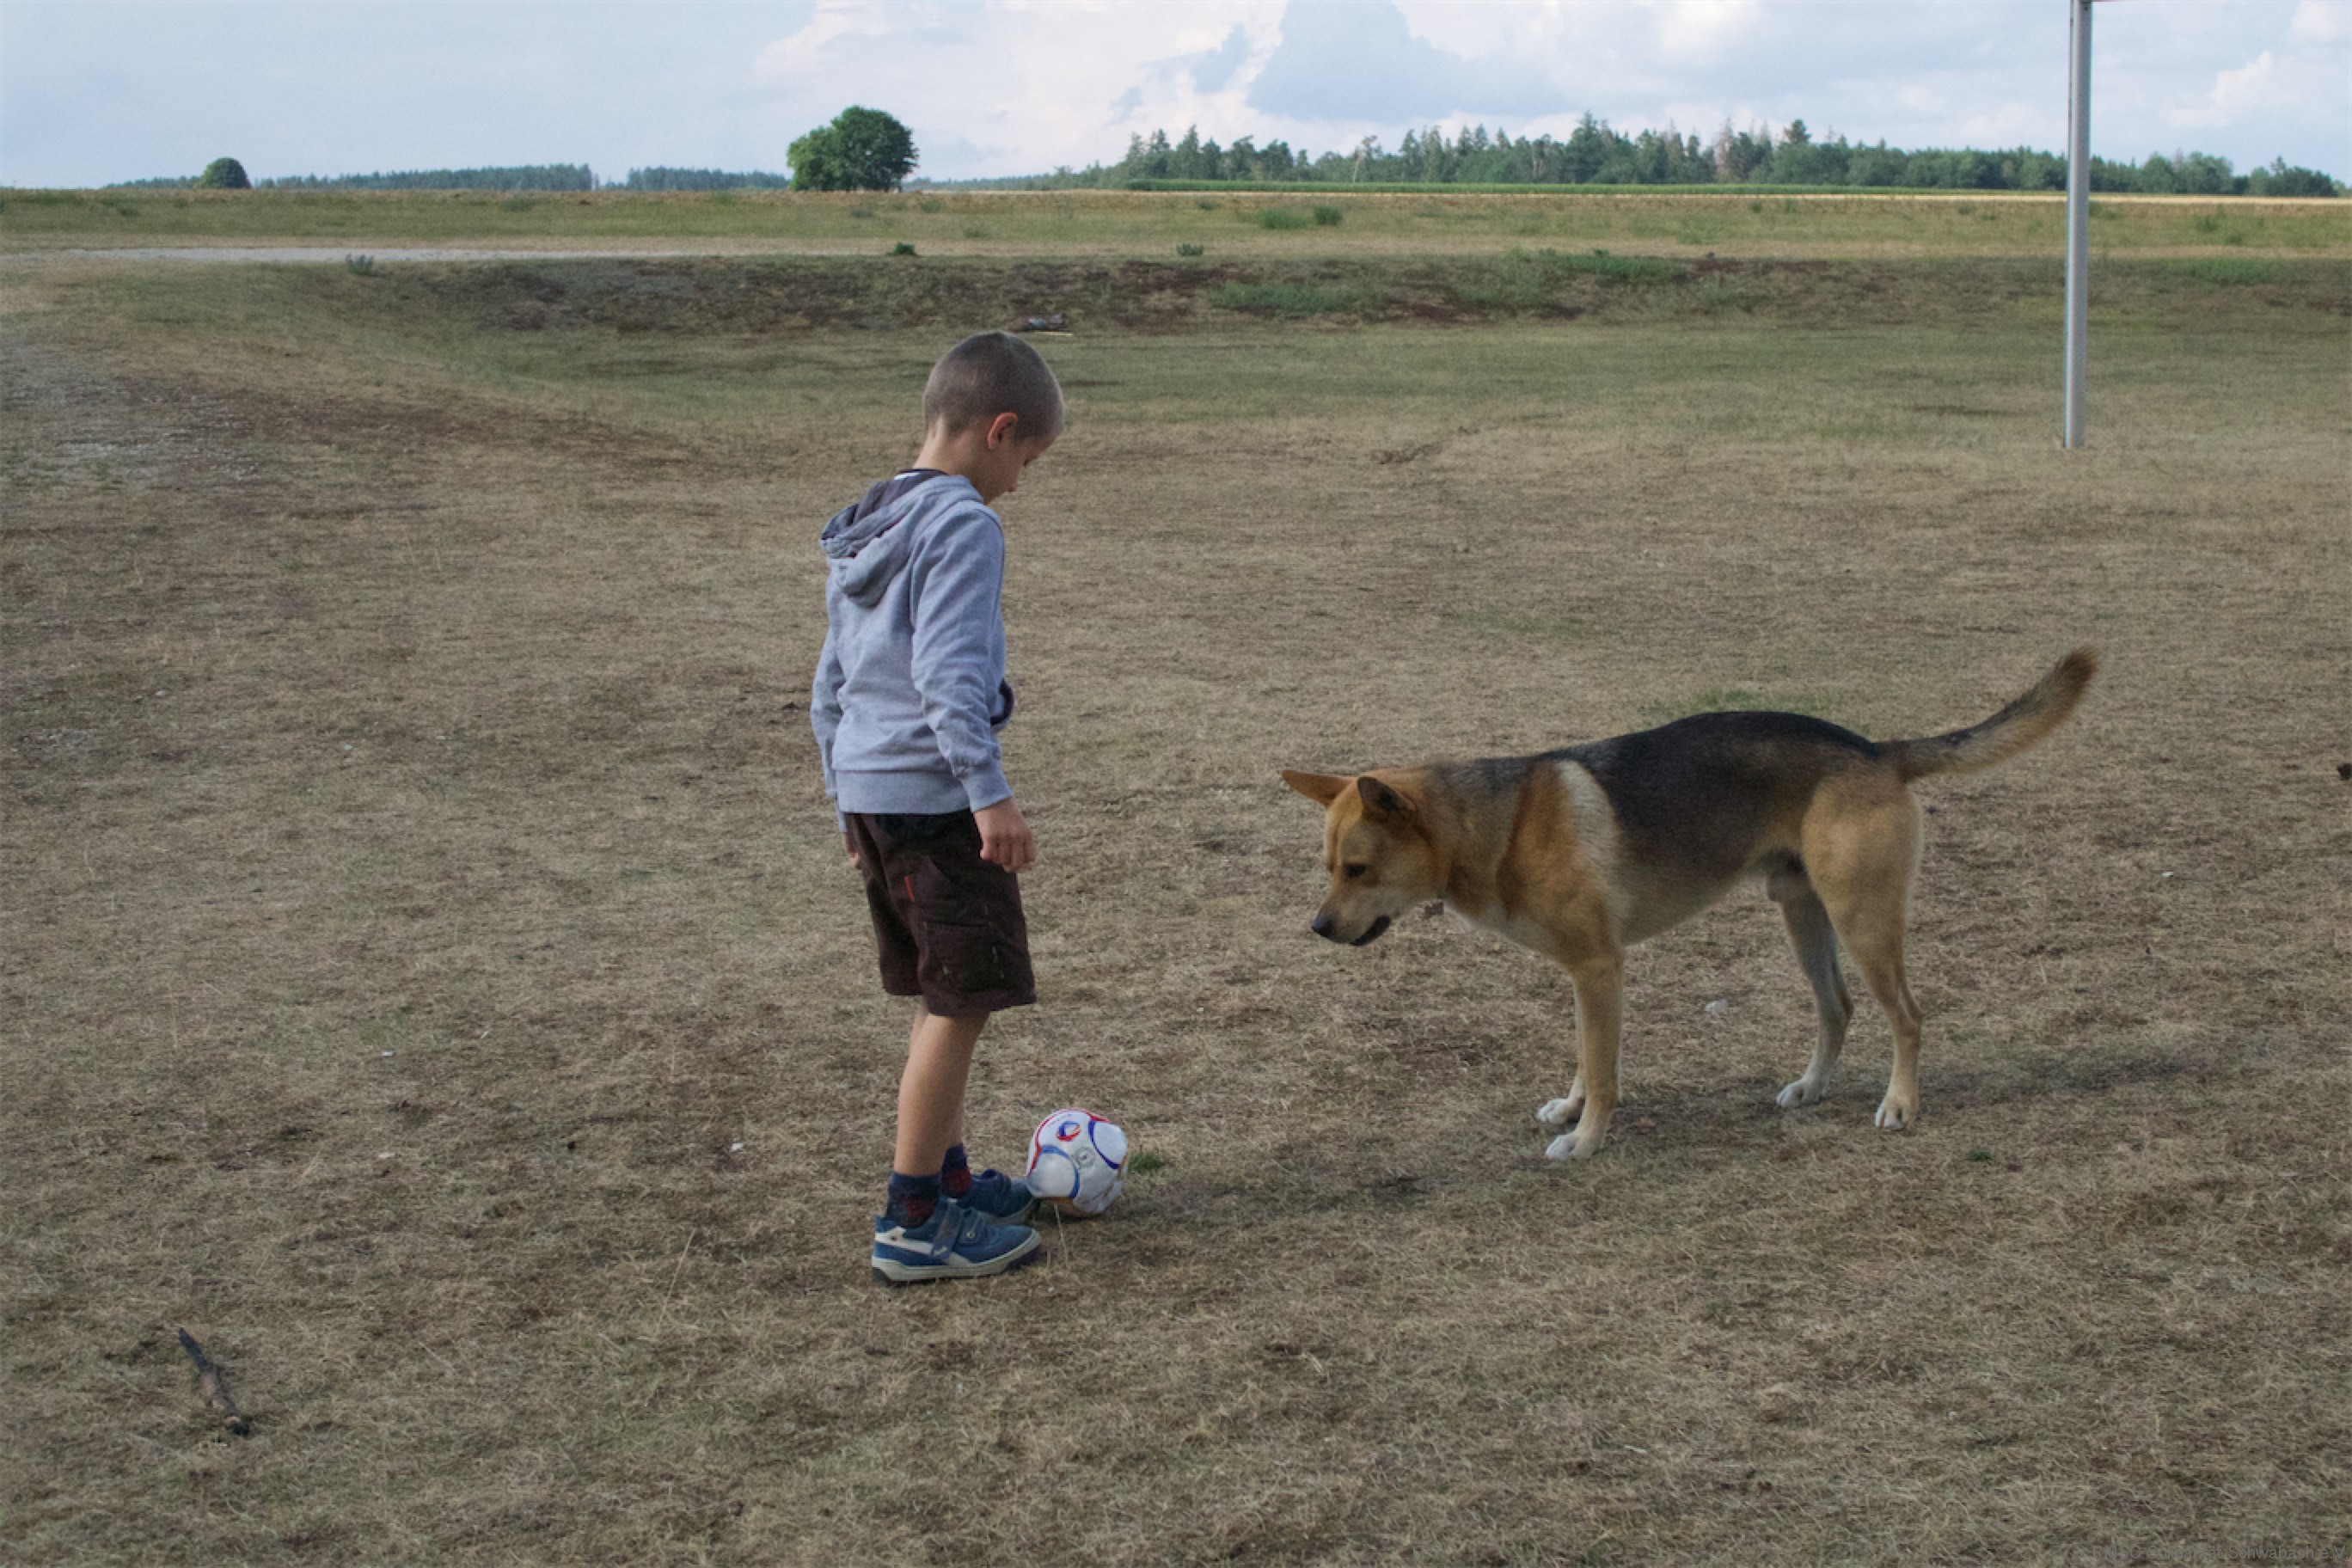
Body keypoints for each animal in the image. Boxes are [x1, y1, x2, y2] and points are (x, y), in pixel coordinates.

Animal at [1283, 649, 2097, 1160]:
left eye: (1358, 868)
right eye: (1328, 868)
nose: (1318, 928)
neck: (1498, 825)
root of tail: (1876, 750)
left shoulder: (1600, 967)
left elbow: (1604, 1071)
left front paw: (1585, 1140)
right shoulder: (1584, 976)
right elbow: (1587, 1057)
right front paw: (1572, 1109)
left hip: (1862, 921)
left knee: (1908, 1017)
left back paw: (1900, 1104)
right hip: (1803, 914)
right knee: (1837, 1008)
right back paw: (1811, 1087)